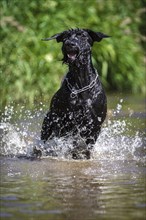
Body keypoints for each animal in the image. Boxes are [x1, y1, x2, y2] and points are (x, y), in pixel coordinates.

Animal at [40, 28, 109, 159]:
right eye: (66, 37)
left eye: (82, 36)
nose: (69, 44)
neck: (81, 82)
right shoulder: (62, 121)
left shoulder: (95, 126)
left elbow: (87, 147)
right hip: (48, 123)